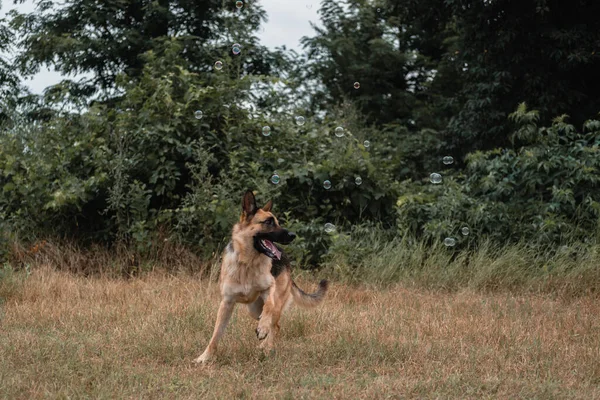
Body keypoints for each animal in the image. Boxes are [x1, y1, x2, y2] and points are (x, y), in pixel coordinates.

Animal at [195, 191, 328, 362]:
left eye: (277, 222)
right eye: (268, 222)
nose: (293, 235)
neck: (247, 263)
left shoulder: (269, 289)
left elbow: (269, 307)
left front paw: (263, 330)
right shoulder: (226, 303)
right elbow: (216, 334)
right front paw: (204, 357)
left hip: (276, 302)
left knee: (275, 324)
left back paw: (267, 346)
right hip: (253, 310)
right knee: (273, 323)